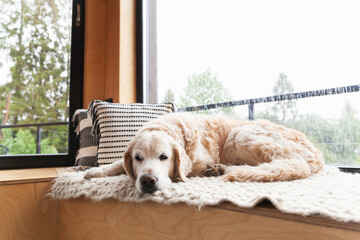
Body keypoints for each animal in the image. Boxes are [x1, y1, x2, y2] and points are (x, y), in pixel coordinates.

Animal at [83, 113, 324, 194]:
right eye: (137, 158)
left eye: (164, 157)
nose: (148, 181)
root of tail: (317, 155)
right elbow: (118, 163)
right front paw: (96, 171)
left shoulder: (197, 160)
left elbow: (190, 168)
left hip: (240, 134)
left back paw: (220, 169)